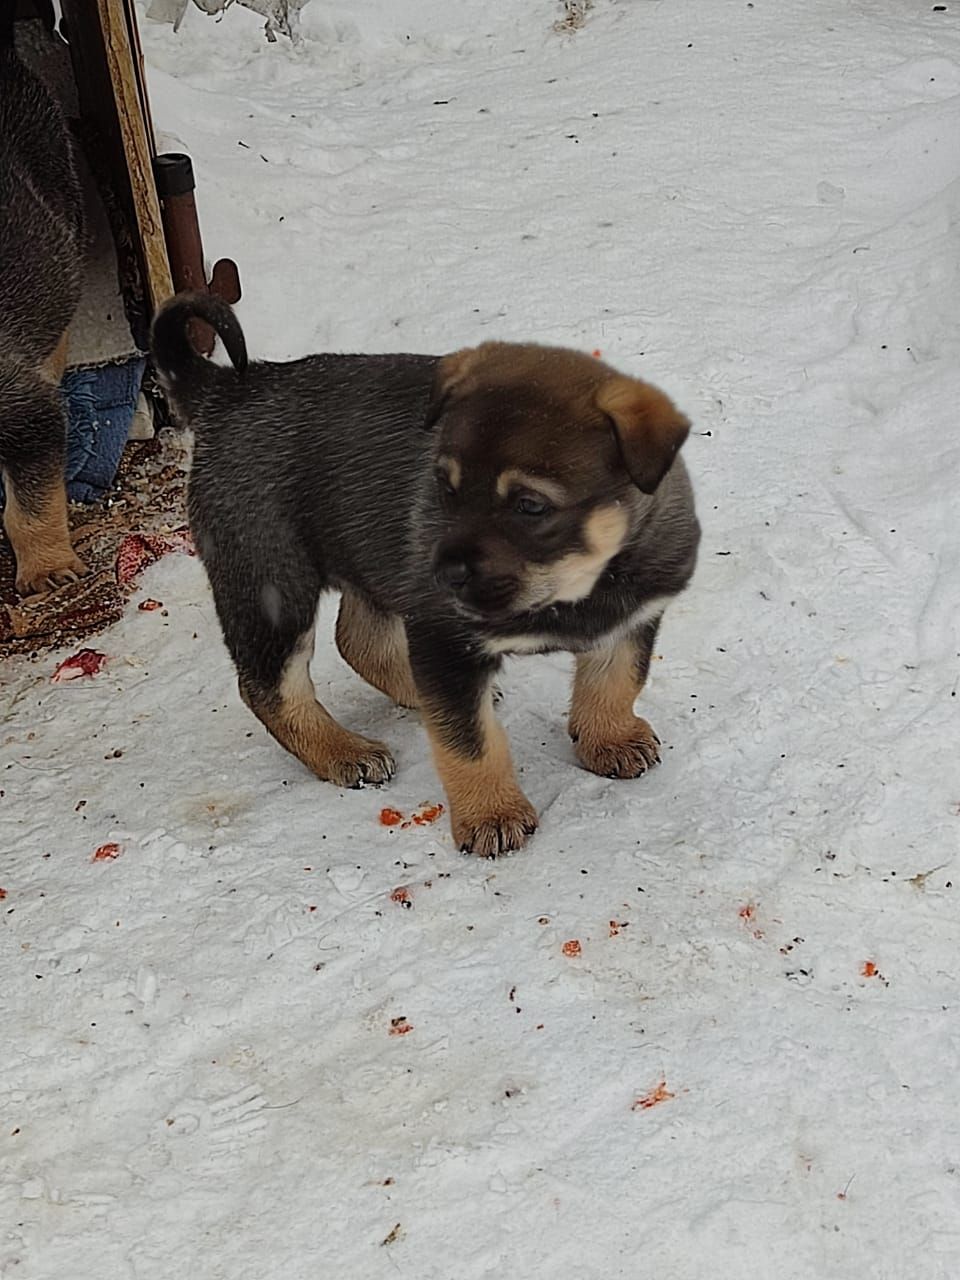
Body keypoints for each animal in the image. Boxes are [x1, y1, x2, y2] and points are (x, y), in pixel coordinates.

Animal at [154, 293, 701, 855]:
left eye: (530, 506)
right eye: (446, 488)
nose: (440, 573)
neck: (573, 587)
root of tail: (226, 388)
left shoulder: (632, 618)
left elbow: (616, 680)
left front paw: (610, 738)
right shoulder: (446, 639)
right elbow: (470, 745)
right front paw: (492, 815)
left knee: (360, 641)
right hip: (271, 584)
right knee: (269, 687)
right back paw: (342, 751)